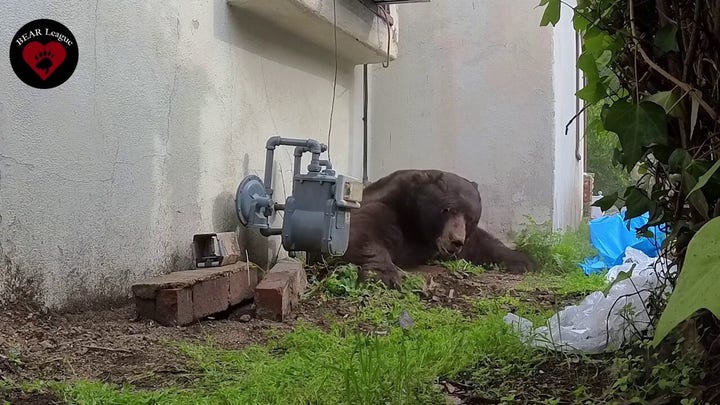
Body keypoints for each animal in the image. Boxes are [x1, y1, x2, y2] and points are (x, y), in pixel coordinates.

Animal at [337, 169, 535, 288]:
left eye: (470, 217)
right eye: (447, 209)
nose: (456, 241)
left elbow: (482, 243)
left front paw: (523, 261)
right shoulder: (385, 209)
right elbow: (361, 233)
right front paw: (384, 275)